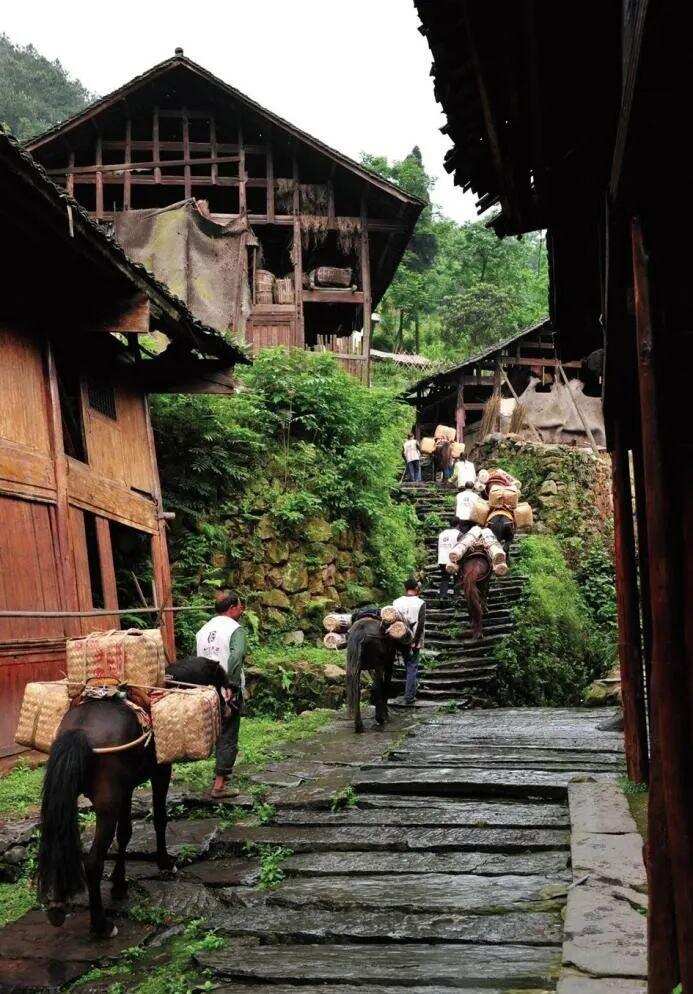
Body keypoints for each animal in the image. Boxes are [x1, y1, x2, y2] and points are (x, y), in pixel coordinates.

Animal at [36, 656, 226, 932]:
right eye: (221, 678)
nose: (234, 702)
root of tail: (80, 733)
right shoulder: (160, 773)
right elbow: (159, 819)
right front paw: (165, 864)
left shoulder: (125, 790)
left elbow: (124, 833)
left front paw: (119, 884)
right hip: (106, 805)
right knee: (92, 862)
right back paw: (101, 925)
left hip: (67, 797)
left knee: (59, 841)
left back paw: (57, 906)